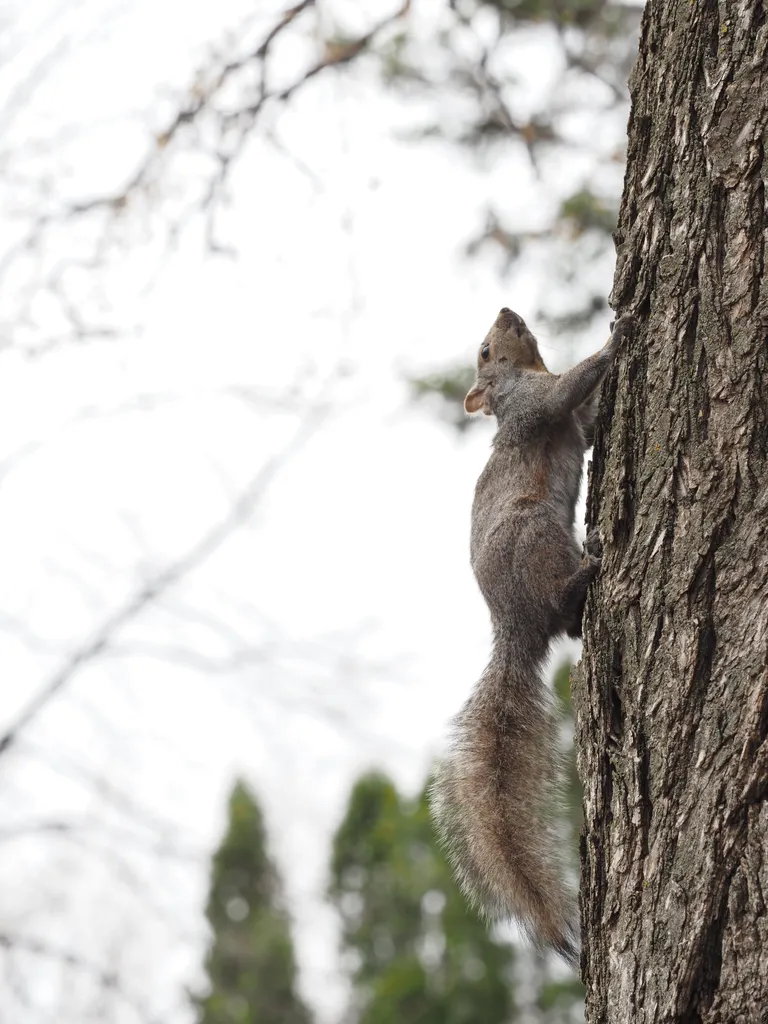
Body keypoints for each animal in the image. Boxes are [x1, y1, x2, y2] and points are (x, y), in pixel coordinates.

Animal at [430, 307, 632, 968]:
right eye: (485, 349)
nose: (507, 311)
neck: (526, 371)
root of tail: (513, 628)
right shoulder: (532, 406)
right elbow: (565, 390)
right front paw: (615, 338)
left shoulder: (571, 423)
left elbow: (586, 423)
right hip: (536, 534)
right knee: (563, 604)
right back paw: (584, 577)